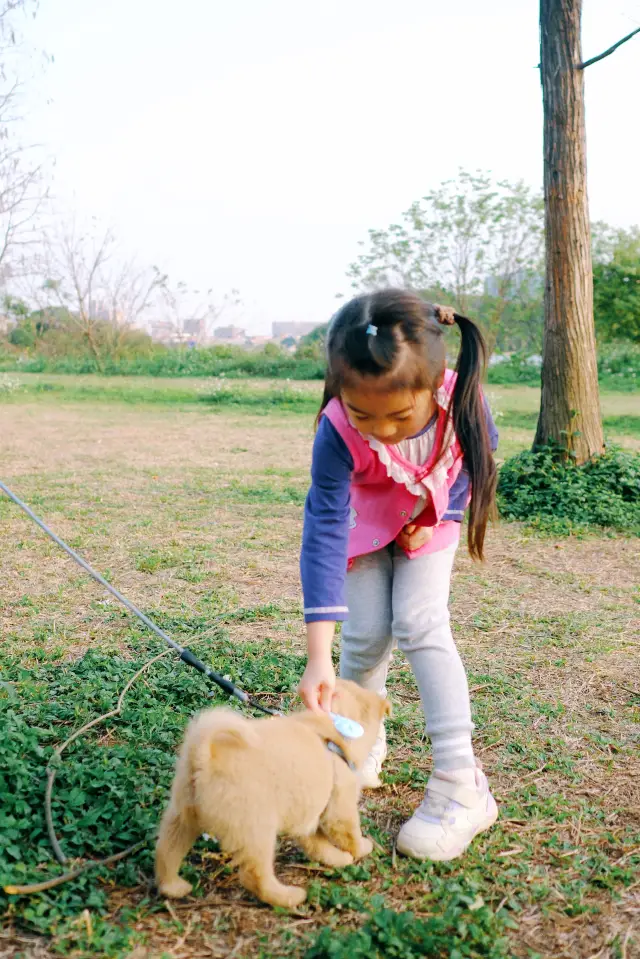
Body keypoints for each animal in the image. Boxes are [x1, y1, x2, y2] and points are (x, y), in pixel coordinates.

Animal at [155, 680, 390, 912]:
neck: (331, 733)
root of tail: (204, 759)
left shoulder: (308, 814)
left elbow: (319, 845)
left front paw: (338, 859)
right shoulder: (339, 809)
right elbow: (350, 835)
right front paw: (363, 847)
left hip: (182, 817)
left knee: (167, 851)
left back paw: (173, 887)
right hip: (257, 830)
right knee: (254, 876)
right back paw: (288, 897)